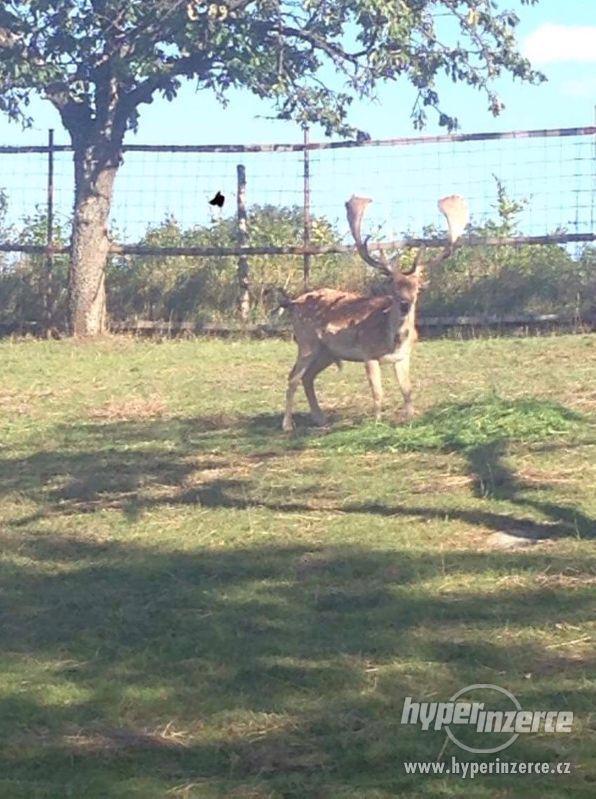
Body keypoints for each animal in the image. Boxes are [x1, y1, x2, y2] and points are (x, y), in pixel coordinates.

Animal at [280, 194, 470, 432]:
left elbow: (407, 390)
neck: (393, 340)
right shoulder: (368, 353)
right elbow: (377, 392)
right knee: (293, 377)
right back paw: (288, 425)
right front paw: (377, 423)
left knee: (307, 377)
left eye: (417, 288)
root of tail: (293, 303)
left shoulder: (403, 357)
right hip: (306, 342)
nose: (405, 304)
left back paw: (320, 418)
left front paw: (411, 419)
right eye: (393, 287)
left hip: (327, 352)